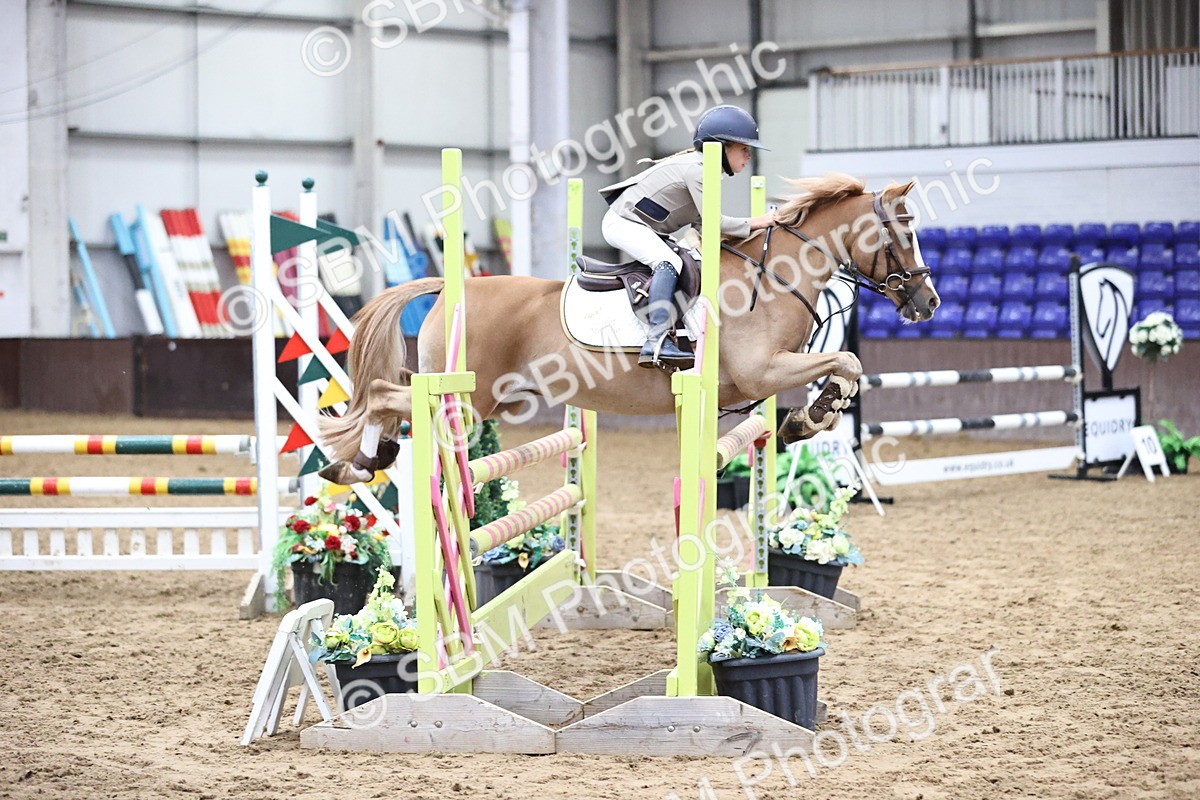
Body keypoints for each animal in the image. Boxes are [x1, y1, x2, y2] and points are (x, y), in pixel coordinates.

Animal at [318, 174, 940, 484]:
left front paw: (808, 418)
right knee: (383, 394)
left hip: (490, 400)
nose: (928, 302)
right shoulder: (760, 371)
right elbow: (847, 362)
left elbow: (845, 368)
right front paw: (811, 419)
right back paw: (358, 461)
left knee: (390, 398)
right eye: (905, 233)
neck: (776, 273)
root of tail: (450, 289)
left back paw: (360, 462)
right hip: (468, 398)